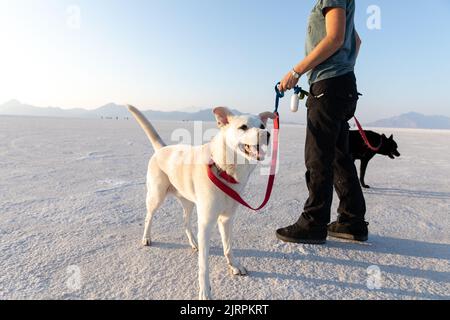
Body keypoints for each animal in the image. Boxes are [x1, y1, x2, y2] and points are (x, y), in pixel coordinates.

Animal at [126, 105, 274, 300]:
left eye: (262, 125)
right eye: (243, 127)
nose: (267, 134)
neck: (224, 171)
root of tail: (162, 149)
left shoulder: (226, 219)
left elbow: (228, 247)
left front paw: (234, 265)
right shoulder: (206, 223)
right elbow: (204, 265)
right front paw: (205, 291)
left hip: (189, 202)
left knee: (185, 222)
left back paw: (193, 242)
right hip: (156, 196)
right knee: (148, 217)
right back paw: (146, 238)